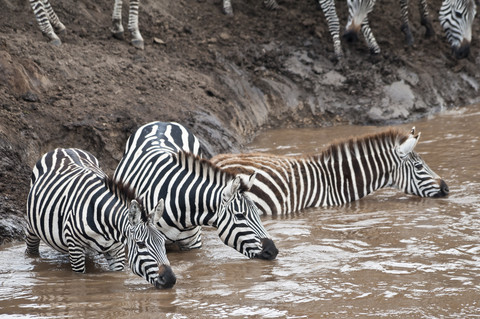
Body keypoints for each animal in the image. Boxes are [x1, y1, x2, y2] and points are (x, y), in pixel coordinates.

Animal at [25, 149, 175, 288]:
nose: (170, 279)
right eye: (141, 244)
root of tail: (64, 148)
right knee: (31, 251)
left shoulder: (117, 250)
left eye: (163, 241)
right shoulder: (74, 246)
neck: (107, 227)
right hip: (32, 229)